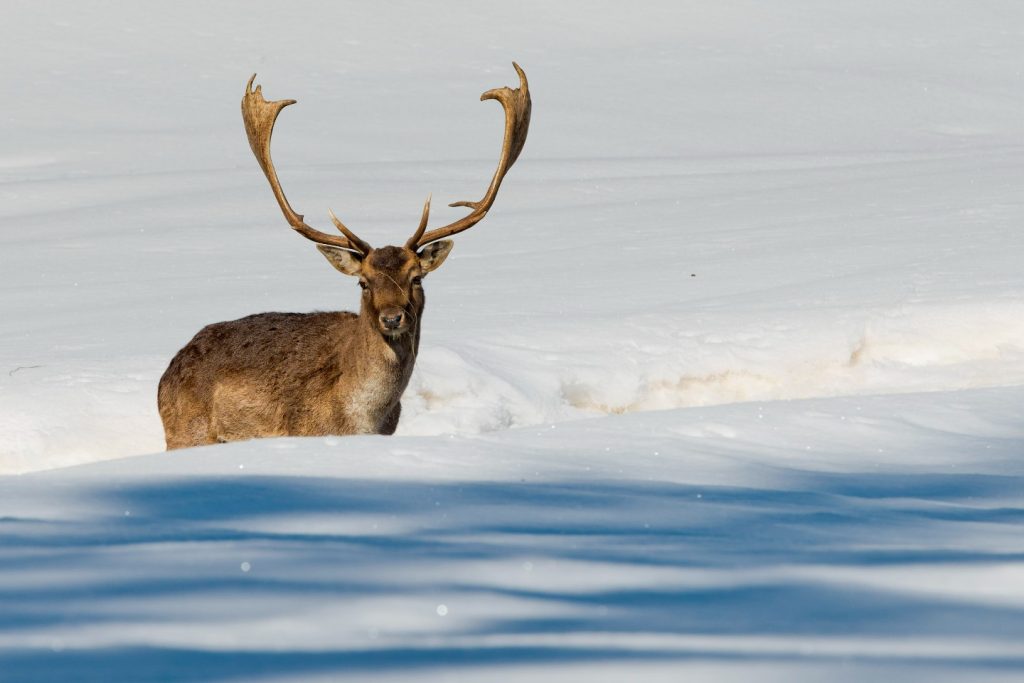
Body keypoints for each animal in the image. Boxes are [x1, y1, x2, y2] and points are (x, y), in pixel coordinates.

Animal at [157, 63, 531, 450]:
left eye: (416, 277)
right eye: (363, 283)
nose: (392, 318)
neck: (362, 418)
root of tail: (167, 374)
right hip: (187, 432)